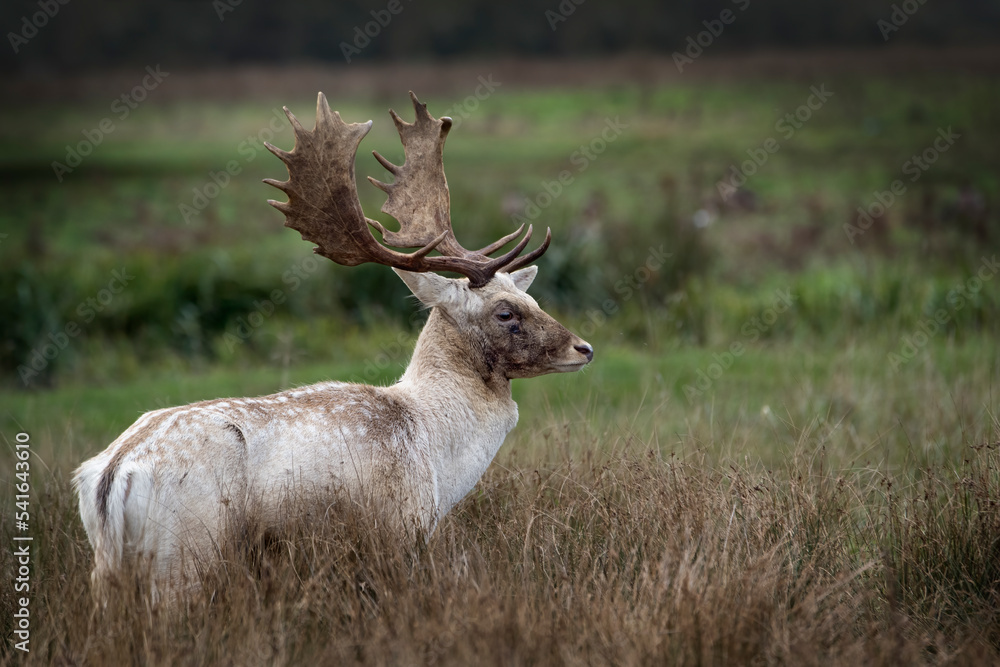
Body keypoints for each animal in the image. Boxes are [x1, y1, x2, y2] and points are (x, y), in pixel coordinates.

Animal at [73, 92, 593, 602]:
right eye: (506, 313)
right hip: (184, 555)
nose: (584, 348)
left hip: (111, 573)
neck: (435, 445)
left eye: (533, 298)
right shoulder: (397, 530)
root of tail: (111, 475)